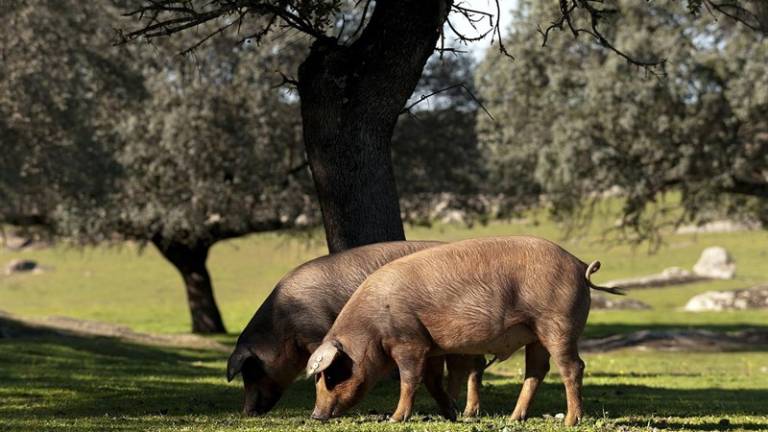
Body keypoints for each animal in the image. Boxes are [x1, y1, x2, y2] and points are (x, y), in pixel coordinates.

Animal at [225, 241, 484, 416]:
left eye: (252, 371)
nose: (247, 412)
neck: (283, 326)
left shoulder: (317, 332)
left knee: (472, 367)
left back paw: (468, 412)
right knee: (467, 366)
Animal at [306, 235, 624, 424]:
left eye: (332, 374)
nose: (315, 415)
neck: (371, 328)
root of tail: (579, 265)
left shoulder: (409, 342)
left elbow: (409, 379)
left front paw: (396, 419)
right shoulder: (430, 346)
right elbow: (433, 381)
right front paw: (450, 415)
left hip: (558, 324)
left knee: (573, 367)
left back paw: (570, 421)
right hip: (536, 333)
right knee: (537, 370)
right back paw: (514, 419)